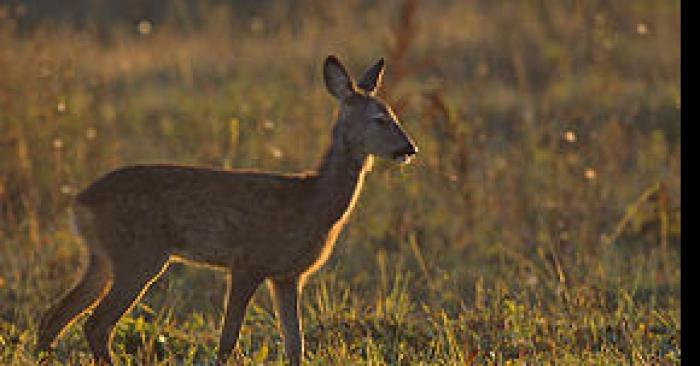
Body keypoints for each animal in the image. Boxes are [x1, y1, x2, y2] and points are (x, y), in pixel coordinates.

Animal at [37, 55, 416, 366]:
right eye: (380, 119)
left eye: (395, 115)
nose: (410, 148)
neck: (312, 202)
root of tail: (78, 204)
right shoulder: (248, 262)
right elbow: (227, 341)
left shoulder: (287, 275)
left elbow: (295, 344)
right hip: (138, 256)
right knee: (95, 324)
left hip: (103, 258)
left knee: (53, 317)